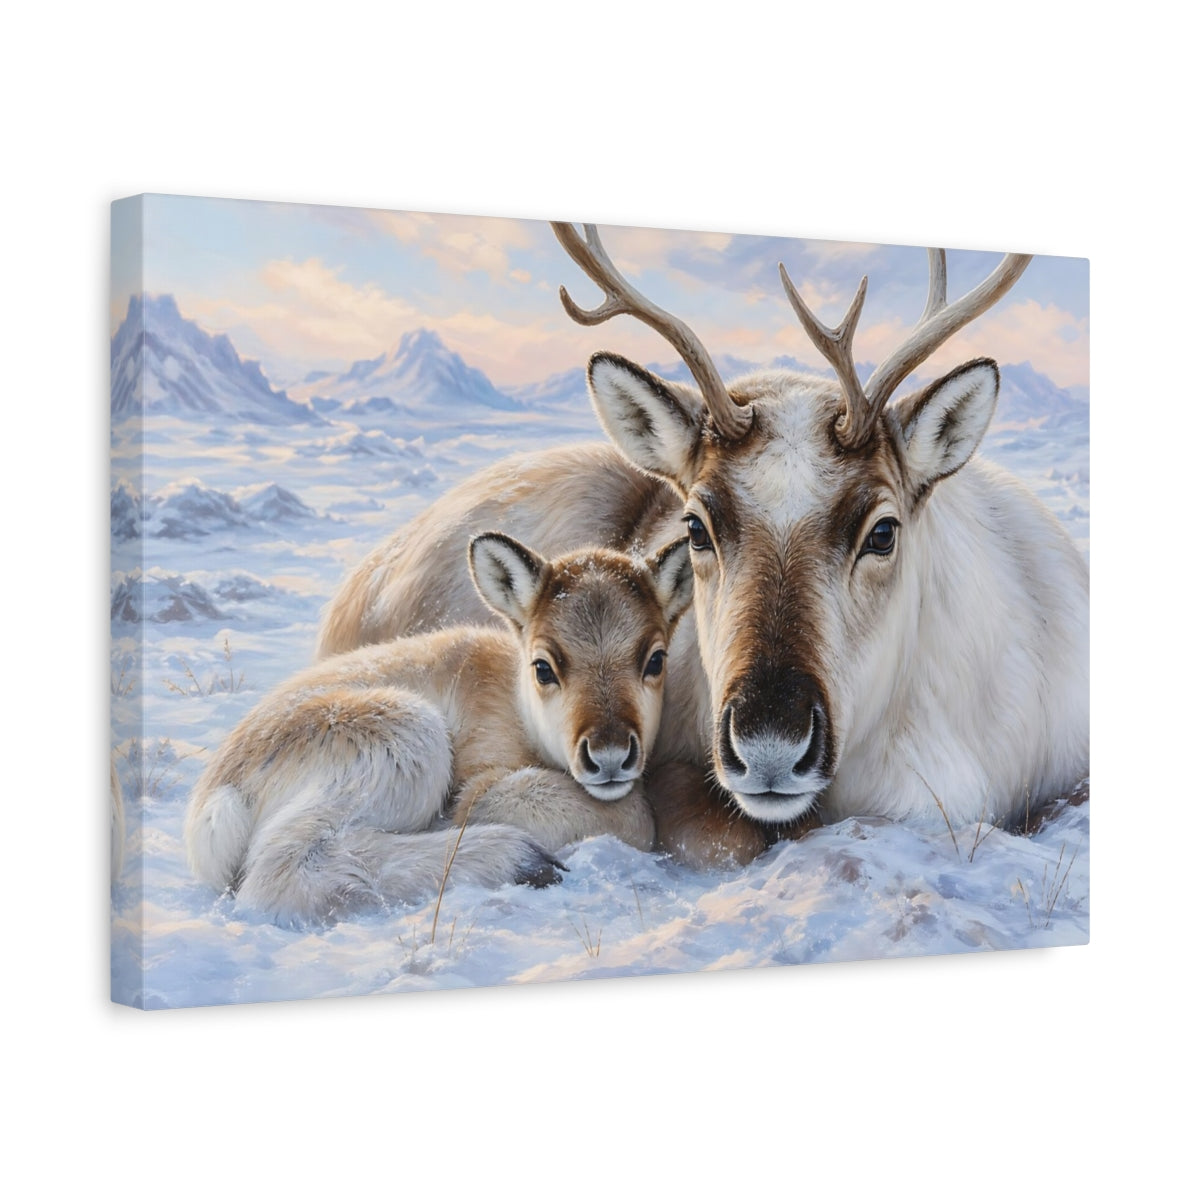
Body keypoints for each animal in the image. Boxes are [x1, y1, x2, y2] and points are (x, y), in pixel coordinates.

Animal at [185, 532, 693, 924]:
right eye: (544, 667)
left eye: (655, 659)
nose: (609, 755)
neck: (516, 706)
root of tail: (217, 793)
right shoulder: (484, 771)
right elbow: (635, 815)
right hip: (407, 739)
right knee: (280, 870)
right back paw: (521, 860)